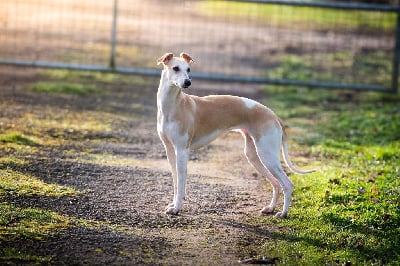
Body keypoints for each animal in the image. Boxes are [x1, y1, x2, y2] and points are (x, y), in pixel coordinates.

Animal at [156, 52, 316, 218]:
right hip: (254, 155)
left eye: (188, 69)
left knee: (287, 184)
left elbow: (181, 182)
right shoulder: (170, 150)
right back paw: (270, 208)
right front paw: (173, 204)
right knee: (276, 183)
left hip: (267, 155)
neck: (173, 106)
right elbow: (175, 180)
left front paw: (176, 208)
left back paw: (283, 213)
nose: (187, 82)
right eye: (175, 68)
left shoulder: (182, 150)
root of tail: (274, 116)